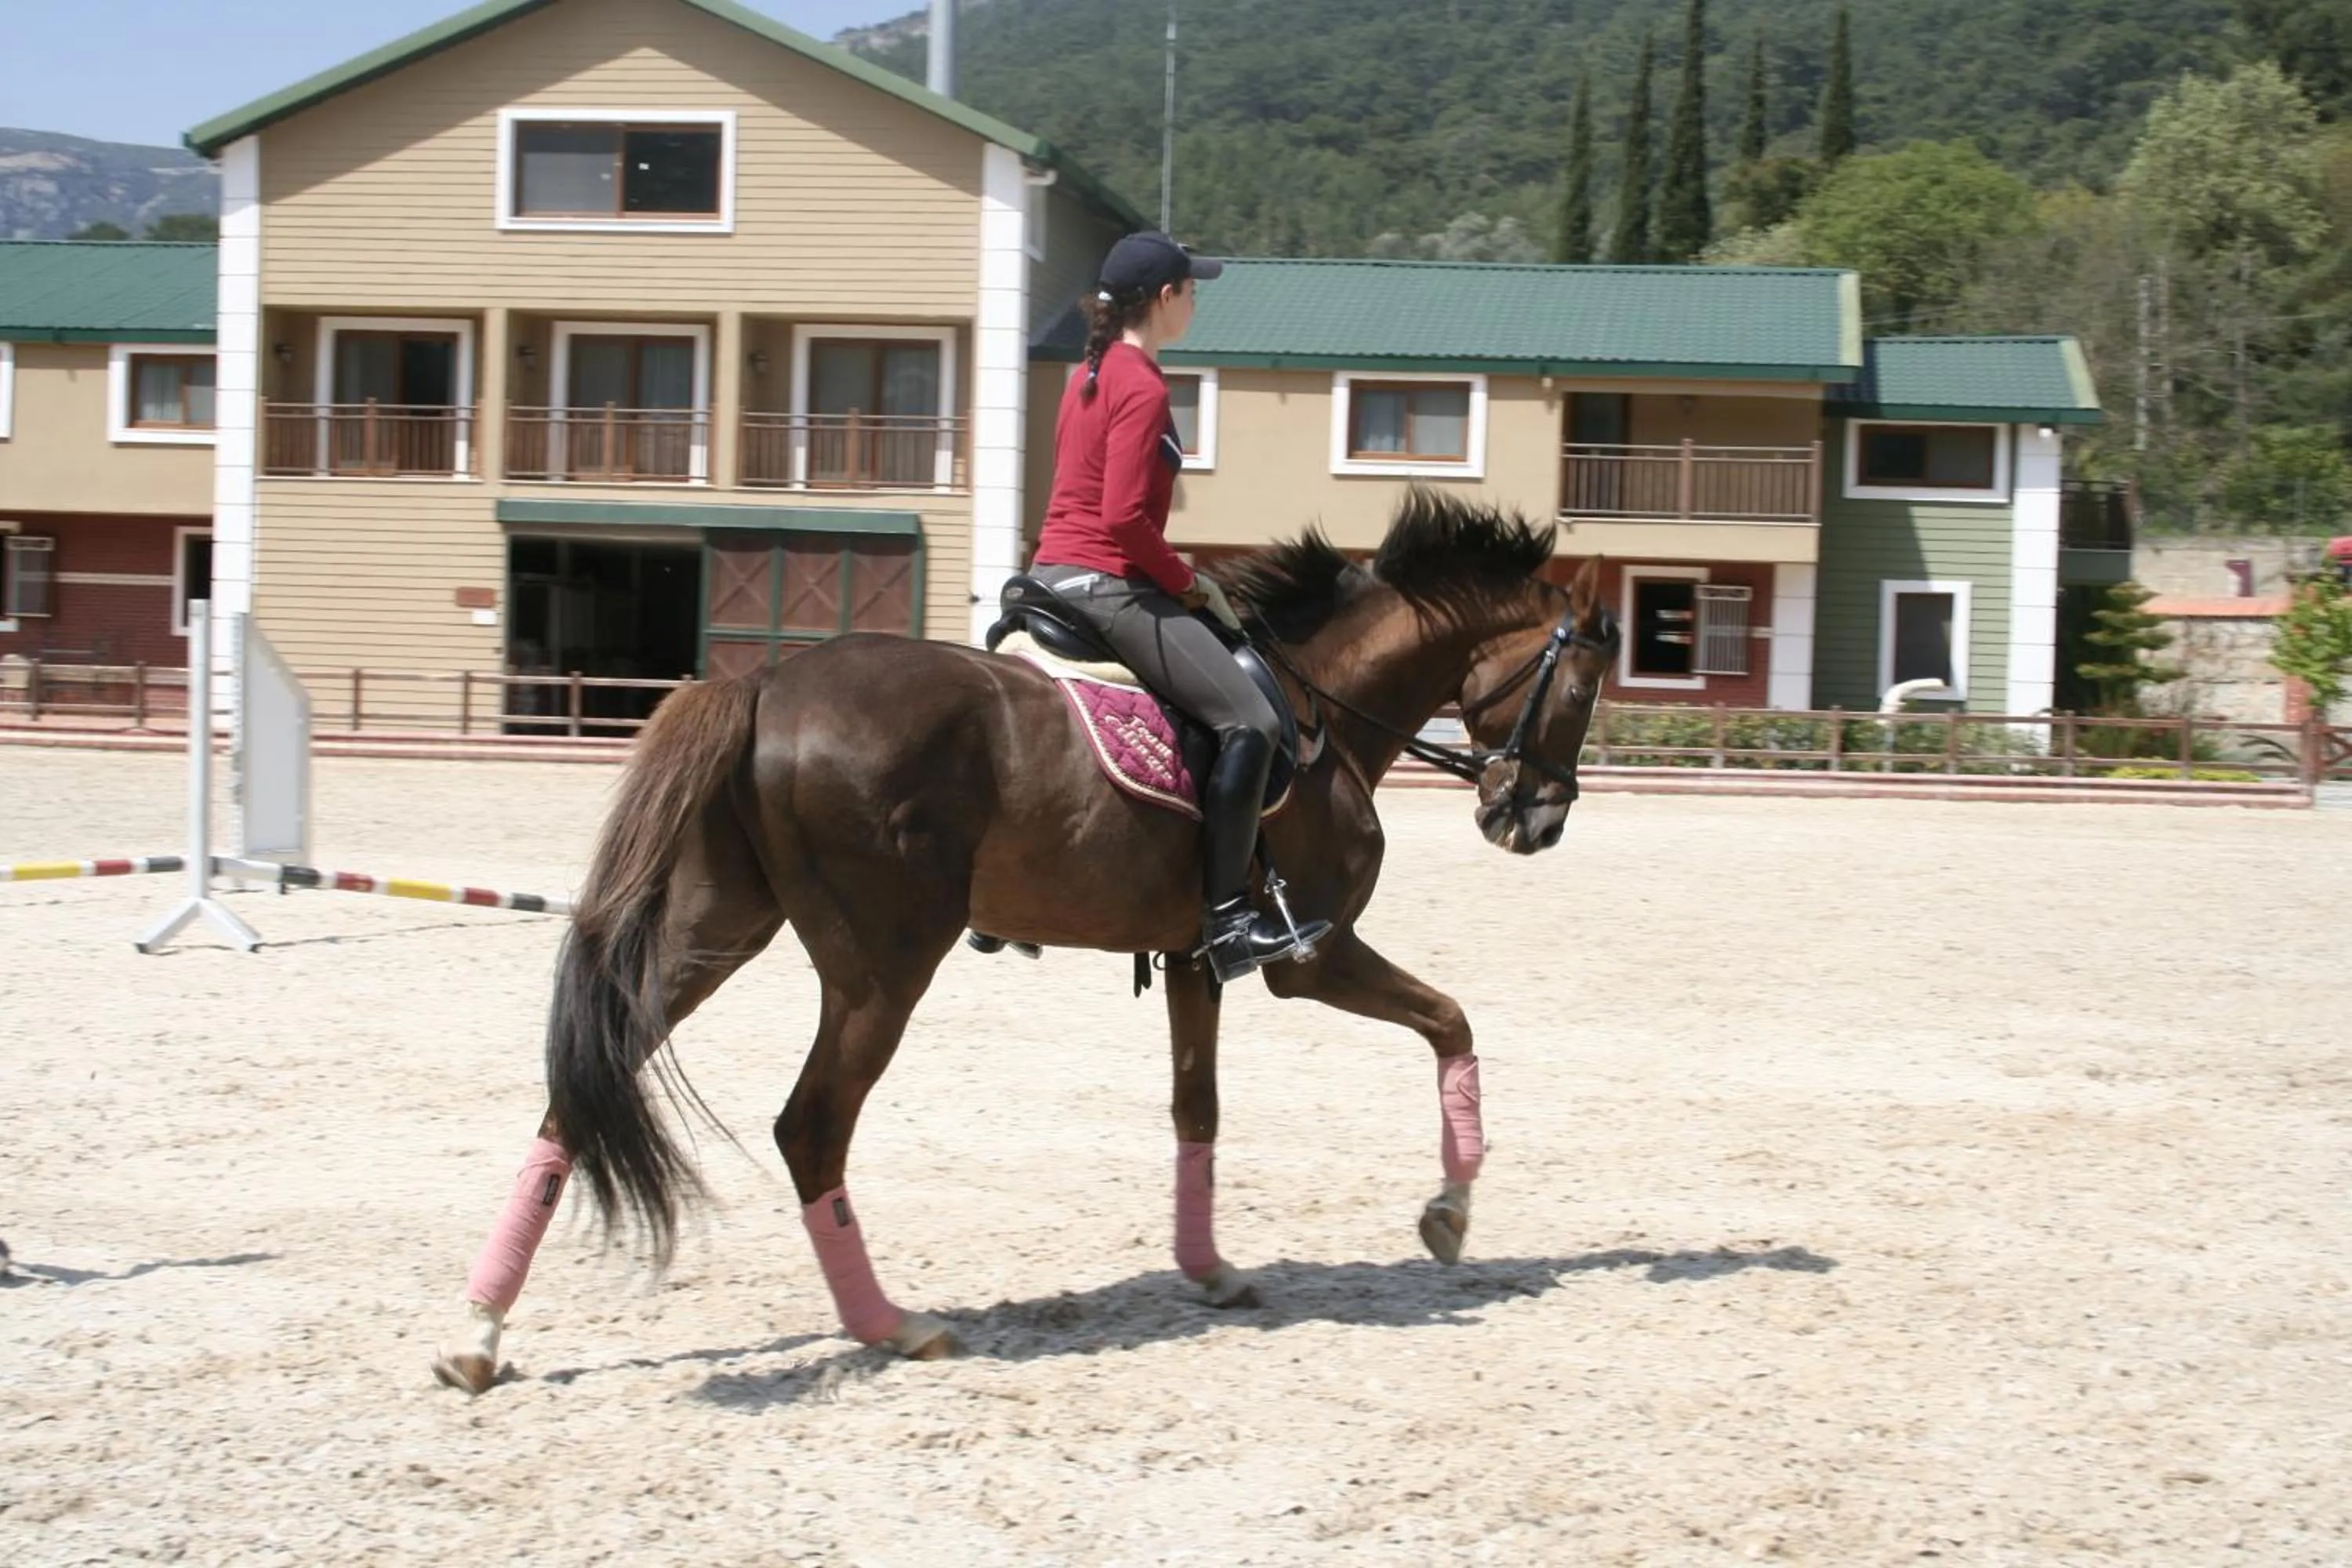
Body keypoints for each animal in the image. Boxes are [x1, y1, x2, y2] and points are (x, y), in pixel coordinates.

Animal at [432, 488, 1618, 1392]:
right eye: (1583, 684)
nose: (1537, 821)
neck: (1318, 711)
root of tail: (763, 680)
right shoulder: (1311, 955)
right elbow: (1451, 1021)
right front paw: (1450, 1211)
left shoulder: (1200, 959)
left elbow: (1198, 1108)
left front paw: (1209, 1266)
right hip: (884, 965)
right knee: (811, 1128)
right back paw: (892, 1324)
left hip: (715, 928)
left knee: (584, 1087)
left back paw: (479, 1335)